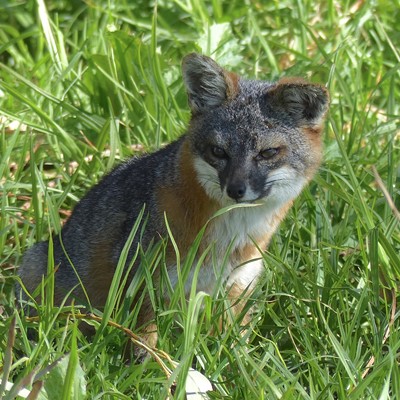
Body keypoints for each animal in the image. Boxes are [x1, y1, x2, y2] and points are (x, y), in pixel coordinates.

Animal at [18, 52, 330, 350]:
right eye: (218, 151)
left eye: (267, 153)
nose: (235, 190)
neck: (229, 237)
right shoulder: (145, 281)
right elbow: (145, 344)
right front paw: (151, 368)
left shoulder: (236, 287)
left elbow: (232, 348)